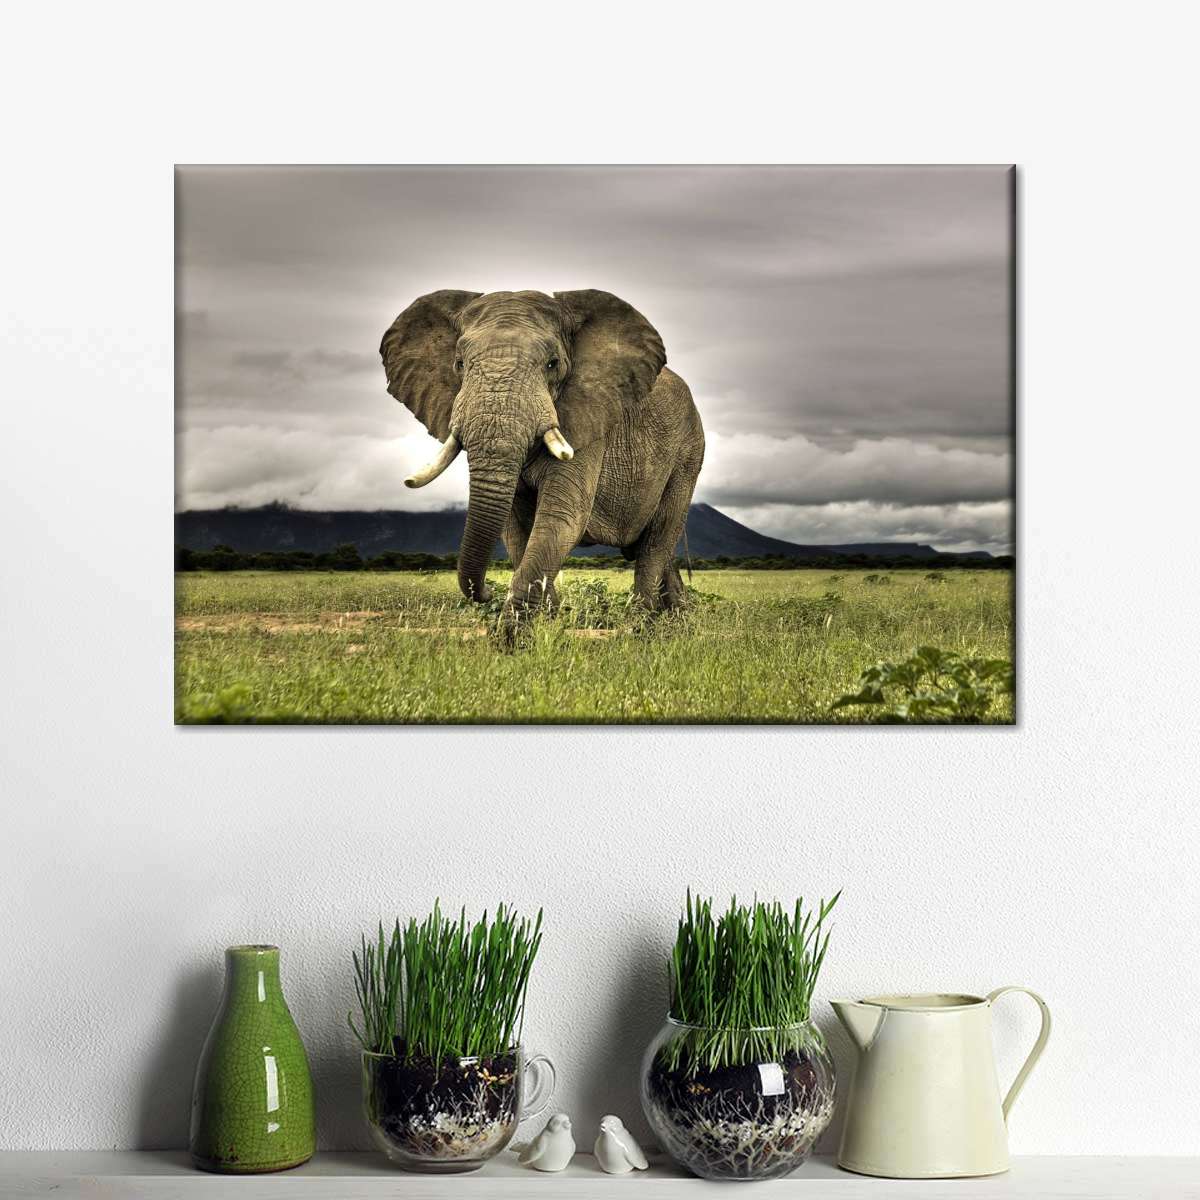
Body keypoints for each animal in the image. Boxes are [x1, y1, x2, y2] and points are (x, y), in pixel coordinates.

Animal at [379, 289, 705, 632]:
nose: (484, 592)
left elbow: (562, 517)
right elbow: (515, 529)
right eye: (459, 364)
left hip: (688, 453)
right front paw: (549, 623)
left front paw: (514, 638)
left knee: (657, 540)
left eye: (553, 364)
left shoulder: (587, 420)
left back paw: (641, 627)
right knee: (655, 549)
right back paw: (677, 621)